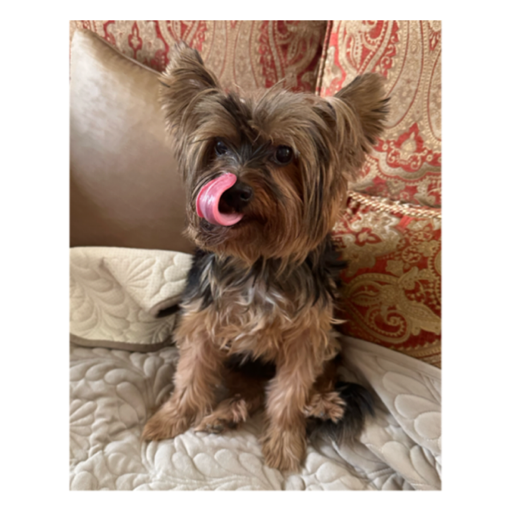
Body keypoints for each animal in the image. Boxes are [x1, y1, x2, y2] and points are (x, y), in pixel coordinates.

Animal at [142, 42, 389, 472]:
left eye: (284, 153)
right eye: (219, 146)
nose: (233, 190)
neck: (258, 260)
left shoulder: (308, 337)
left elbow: (289, 394)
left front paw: (285, 444)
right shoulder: (203, 322)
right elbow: (190, 374)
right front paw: (170, 418)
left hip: (330, 342)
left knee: (319, 379)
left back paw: (324, 403)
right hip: (241, 363)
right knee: (250, 389)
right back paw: (227, 412)